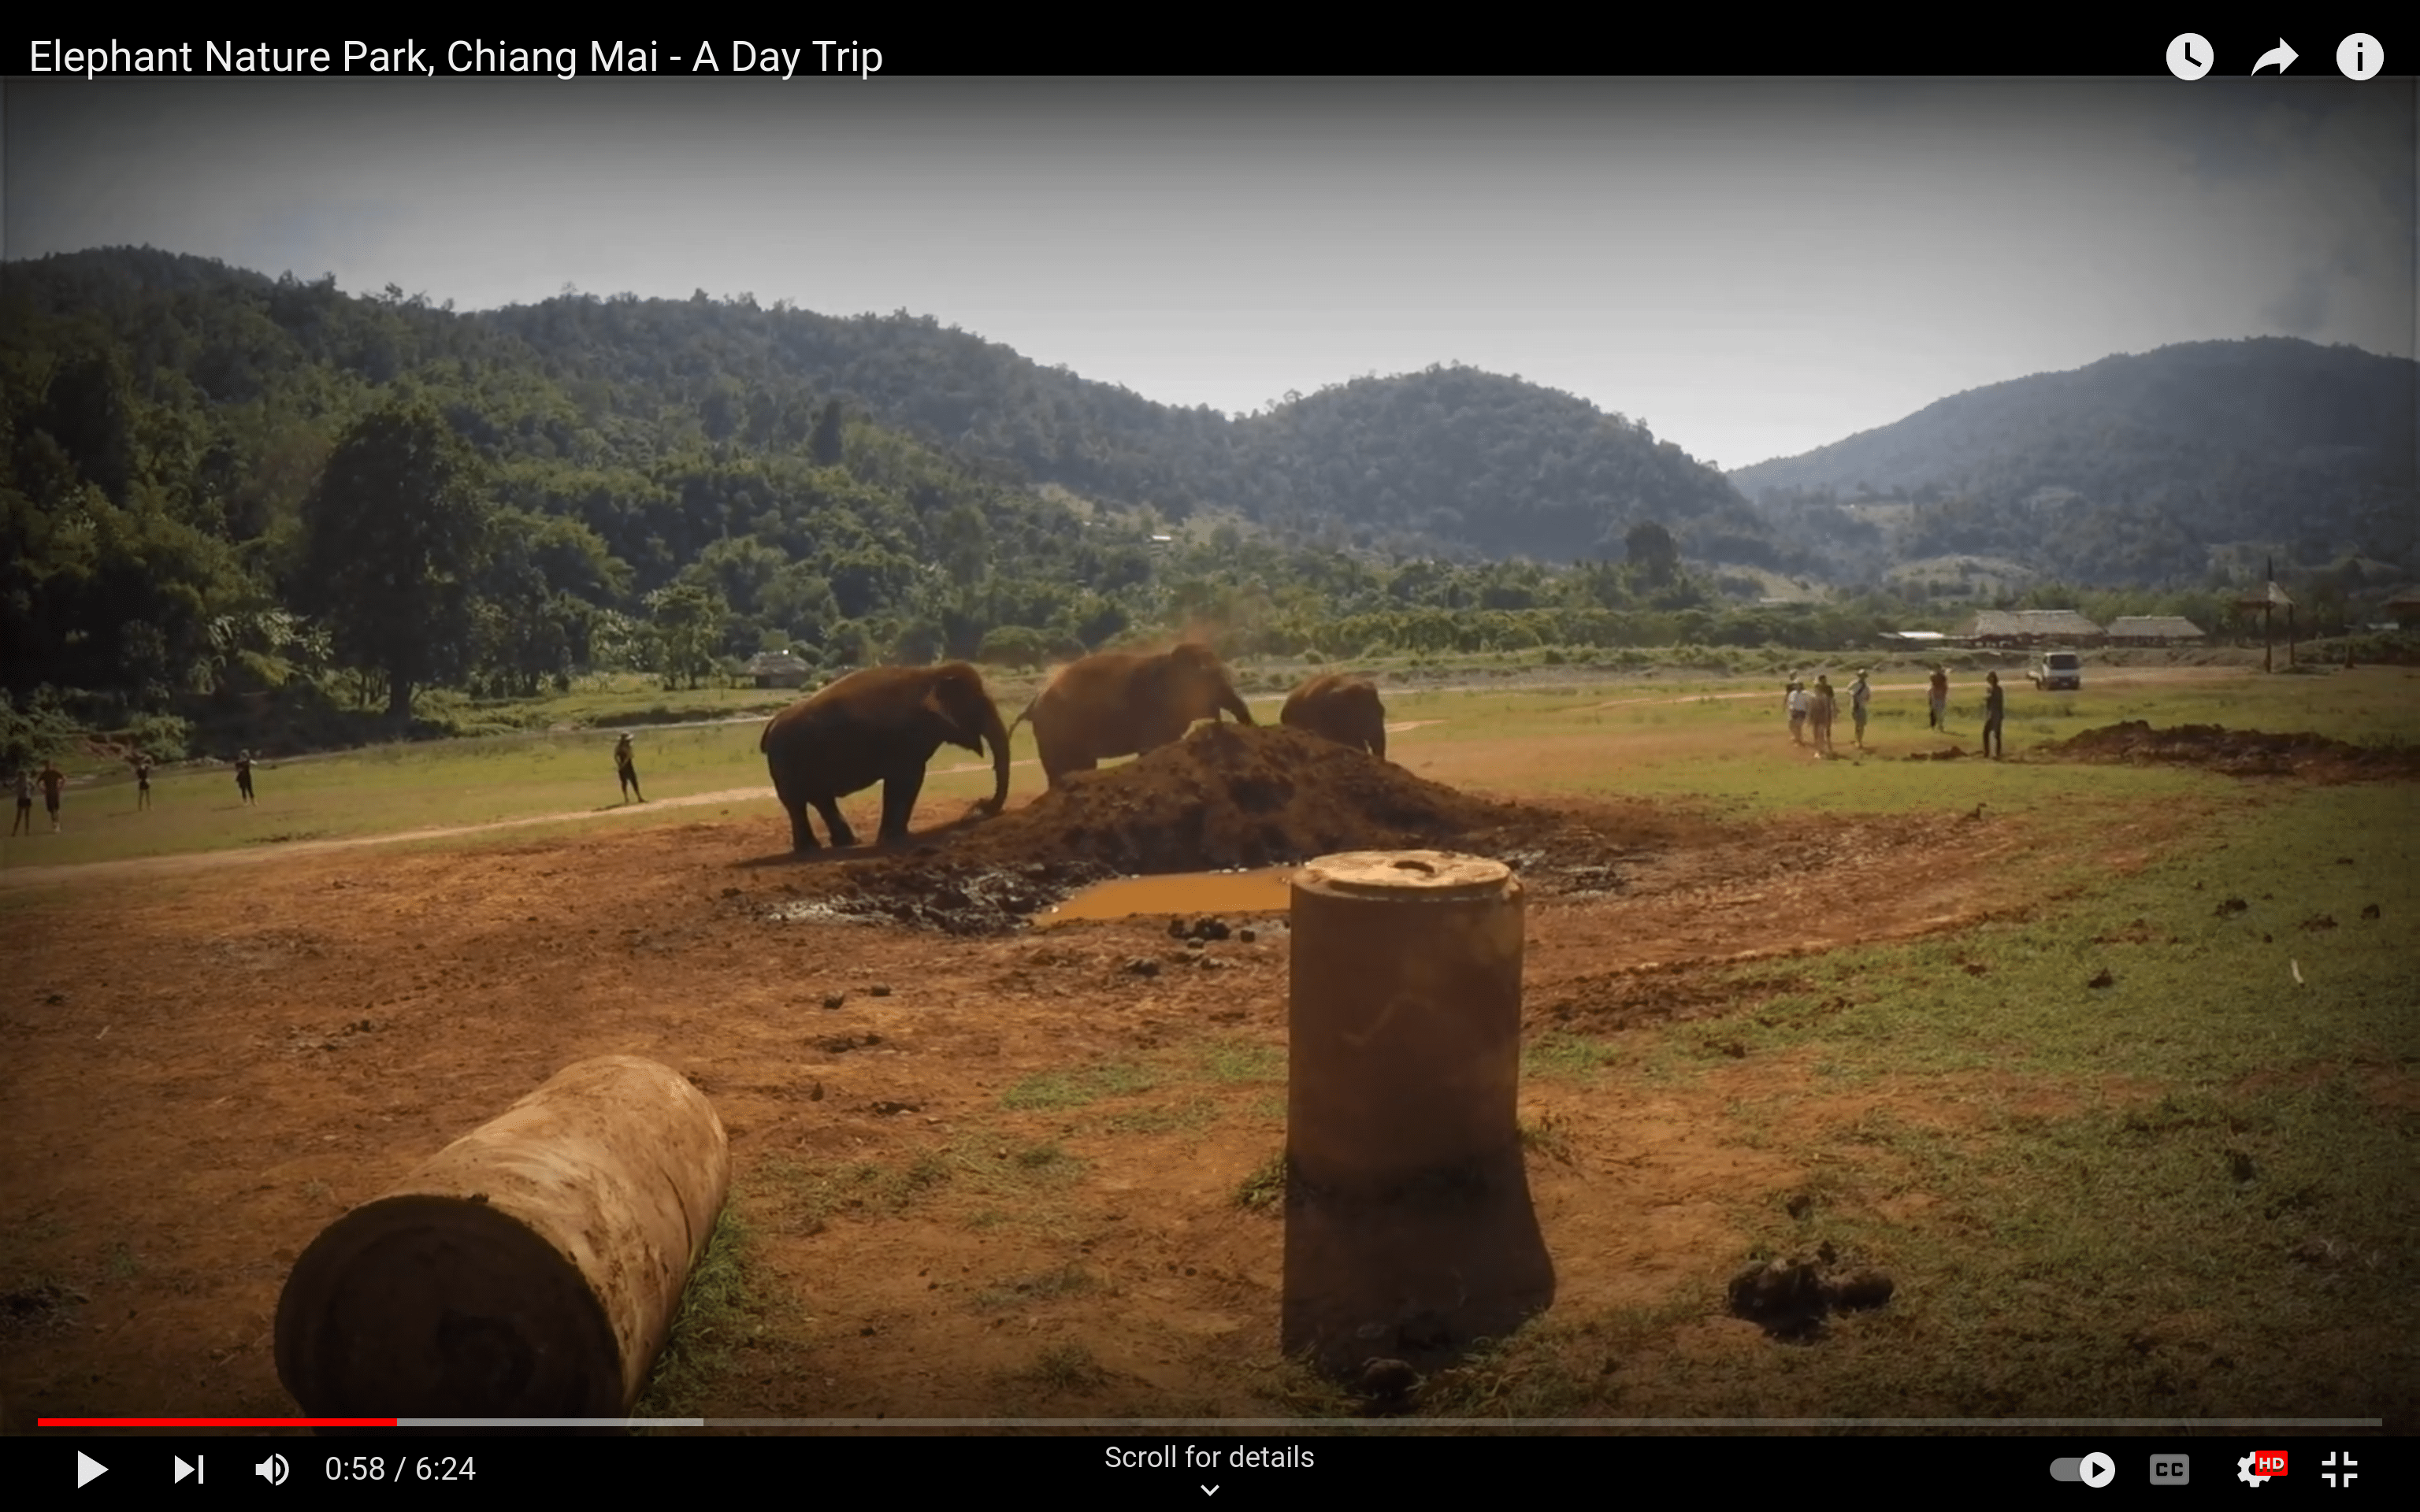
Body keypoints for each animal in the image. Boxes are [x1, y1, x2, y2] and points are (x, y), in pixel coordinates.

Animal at [764, 658, 1011, 851]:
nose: (980, 806)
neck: (931, 673)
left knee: (820, 798)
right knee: (797, 803)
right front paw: (893, 838)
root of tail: (772, 724)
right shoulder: (903, 742)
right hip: (785, 762)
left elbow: (909, 782)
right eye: (979, 704)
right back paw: (811, 848)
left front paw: (895, 836)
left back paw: (848, 843)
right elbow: (907, 781)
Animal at [1011, 639, 1258, 788]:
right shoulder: (1153, 712)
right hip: (1056, 734)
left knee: (1081, 766)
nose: (1247, 724)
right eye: (1210, 678)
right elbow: (1152, 748)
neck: (1170, 661)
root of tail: (1033, 702)